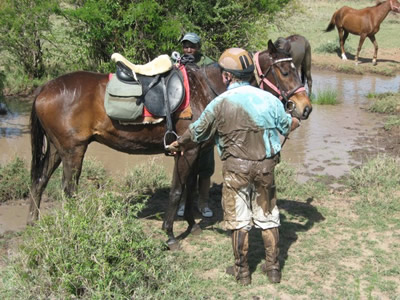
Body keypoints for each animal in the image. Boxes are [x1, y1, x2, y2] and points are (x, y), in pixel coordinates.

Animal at [28, 39, 312, 247]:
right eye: (285, 71)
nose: (305, 108)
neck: (205, 89)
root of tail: (43, 90)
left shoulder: (190, 151)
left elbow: (188, 189)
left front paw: (190, 224)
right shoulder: (188, 150)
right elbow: (177, 191)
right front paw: (170, 234)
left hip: (57, 150)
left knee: (39, 182)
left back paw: (34, 223)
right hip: (73, 152)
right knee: (68, 191)